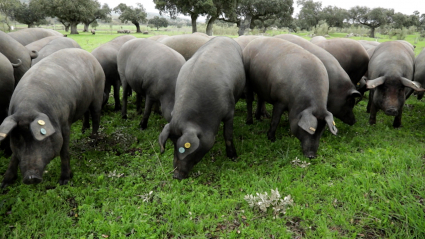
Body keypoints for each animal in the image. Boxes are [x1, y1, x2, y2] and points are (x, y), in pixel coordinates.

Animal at [0, 48, 105, 187]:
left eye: (41, 137)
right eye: (17, 138)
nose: (30, 177)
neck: (28, 109)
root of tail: (88, 54)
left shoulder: (65, 123)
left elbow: (64, 151)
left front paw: (64, 181)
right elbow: (14, 156)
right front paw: (5, 183)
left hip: (98, 92)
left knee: (96, 117)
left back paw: (93, 141)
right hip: (84, 100)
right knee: (86, 113)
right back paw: (83, 130)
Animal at [158, 37, 245, 179]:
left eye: (183, 149)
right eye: (172, 143)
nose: (176, 175)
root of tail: (224, 37)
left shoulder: (229, 112)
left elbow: (228, 135)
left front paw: (234, 157)